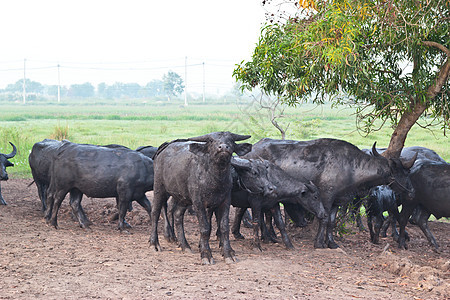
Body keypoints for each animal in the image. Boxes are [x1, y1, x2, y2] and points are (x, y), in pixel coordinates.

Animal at [149, 132, 251, 264]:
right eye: (211, 141)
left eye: (231, 141)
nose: (223, 147)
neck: (215, 179)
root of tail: (163, 149)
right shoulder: (198, 203)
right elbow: (205, 228)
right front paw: (206, 254)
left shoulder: (225, 201)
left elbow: (223, 227)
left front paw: (228, 253)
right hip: (159, 188)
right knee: (155, 212)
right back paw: (154, 244)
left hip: (183, 198)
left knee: (177, 215)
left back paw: (185, 246)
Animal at [246, 138, 414, 248]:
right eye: (400, 172)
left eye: (408, 172)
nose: (411, 192)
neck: (350, 168)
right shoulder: (326, 197)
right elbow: (325, 219)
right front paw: (319, 242)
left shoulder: (337, 201)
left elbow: (332, 222)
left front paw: (331, 242)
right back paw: (267, 237)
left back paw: (269, 236)